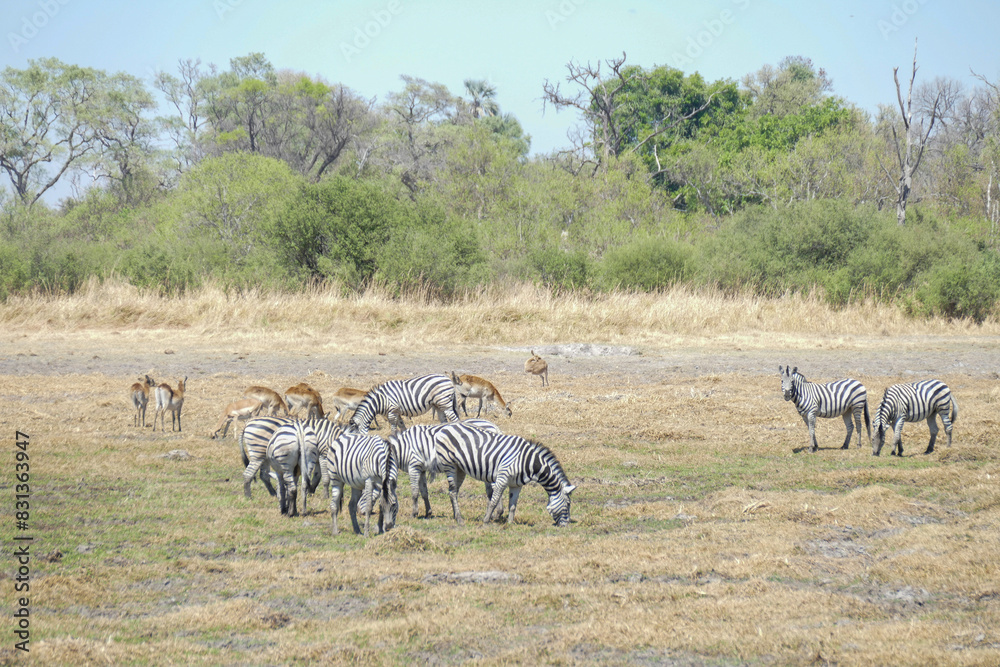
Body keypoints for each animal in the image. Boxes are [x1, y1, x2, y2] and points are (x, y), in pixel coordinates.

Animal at [432, 422, 575, 527]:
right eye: (568, 504)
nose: (566, 526)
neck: (528, 462)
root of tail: (447, 426)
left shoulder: (516, 485)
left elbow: (512, 505)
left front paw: (510, 523)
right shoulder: (503, 477)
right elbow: (494, 500)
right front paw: (486, 521)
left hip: (460, 468)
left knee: (453, 492)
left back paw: (456, 516)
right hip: (450, 465)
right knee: (453, 491)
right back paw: (460, 519)